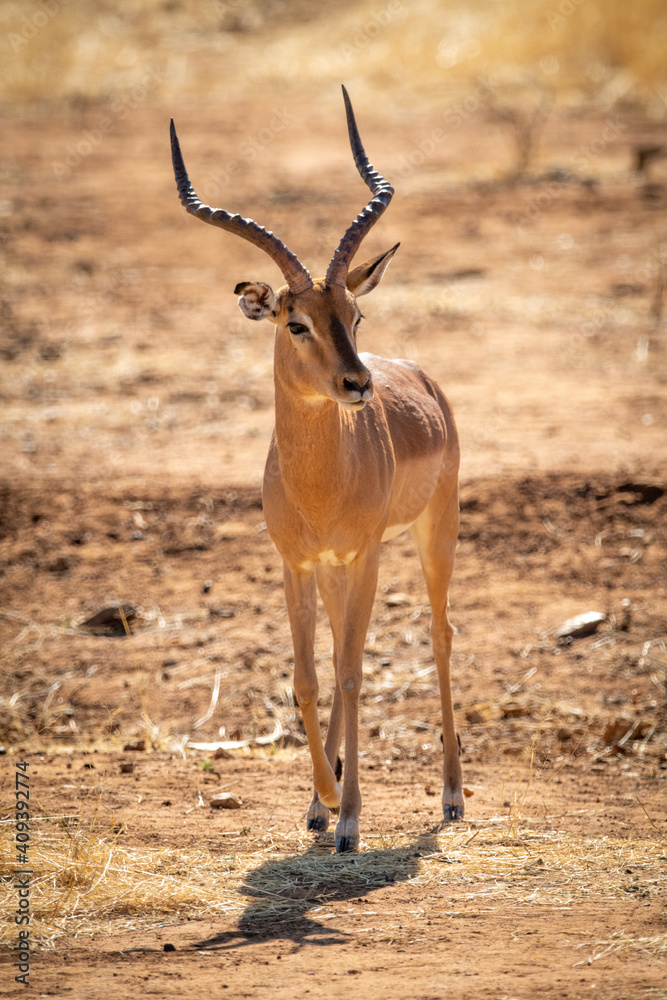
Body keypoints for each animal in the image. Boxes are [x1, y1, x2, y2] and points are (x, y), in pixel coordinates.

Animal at [170, 87, 464, 852]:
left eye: (355, 313)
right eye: (295, 322)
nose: (357, 384)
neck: (319, 486)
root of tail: (422, 378)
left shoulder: (364, 555)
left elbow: (355, 674)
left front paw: (351, 816)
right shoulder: (296, 563)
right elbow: (308, 676)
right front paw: (324, 800)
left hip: (432, 536)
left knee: (439, 636)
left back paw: (452, 796)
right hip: (338, 570)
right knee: (337, 652)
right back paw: (318, 802)